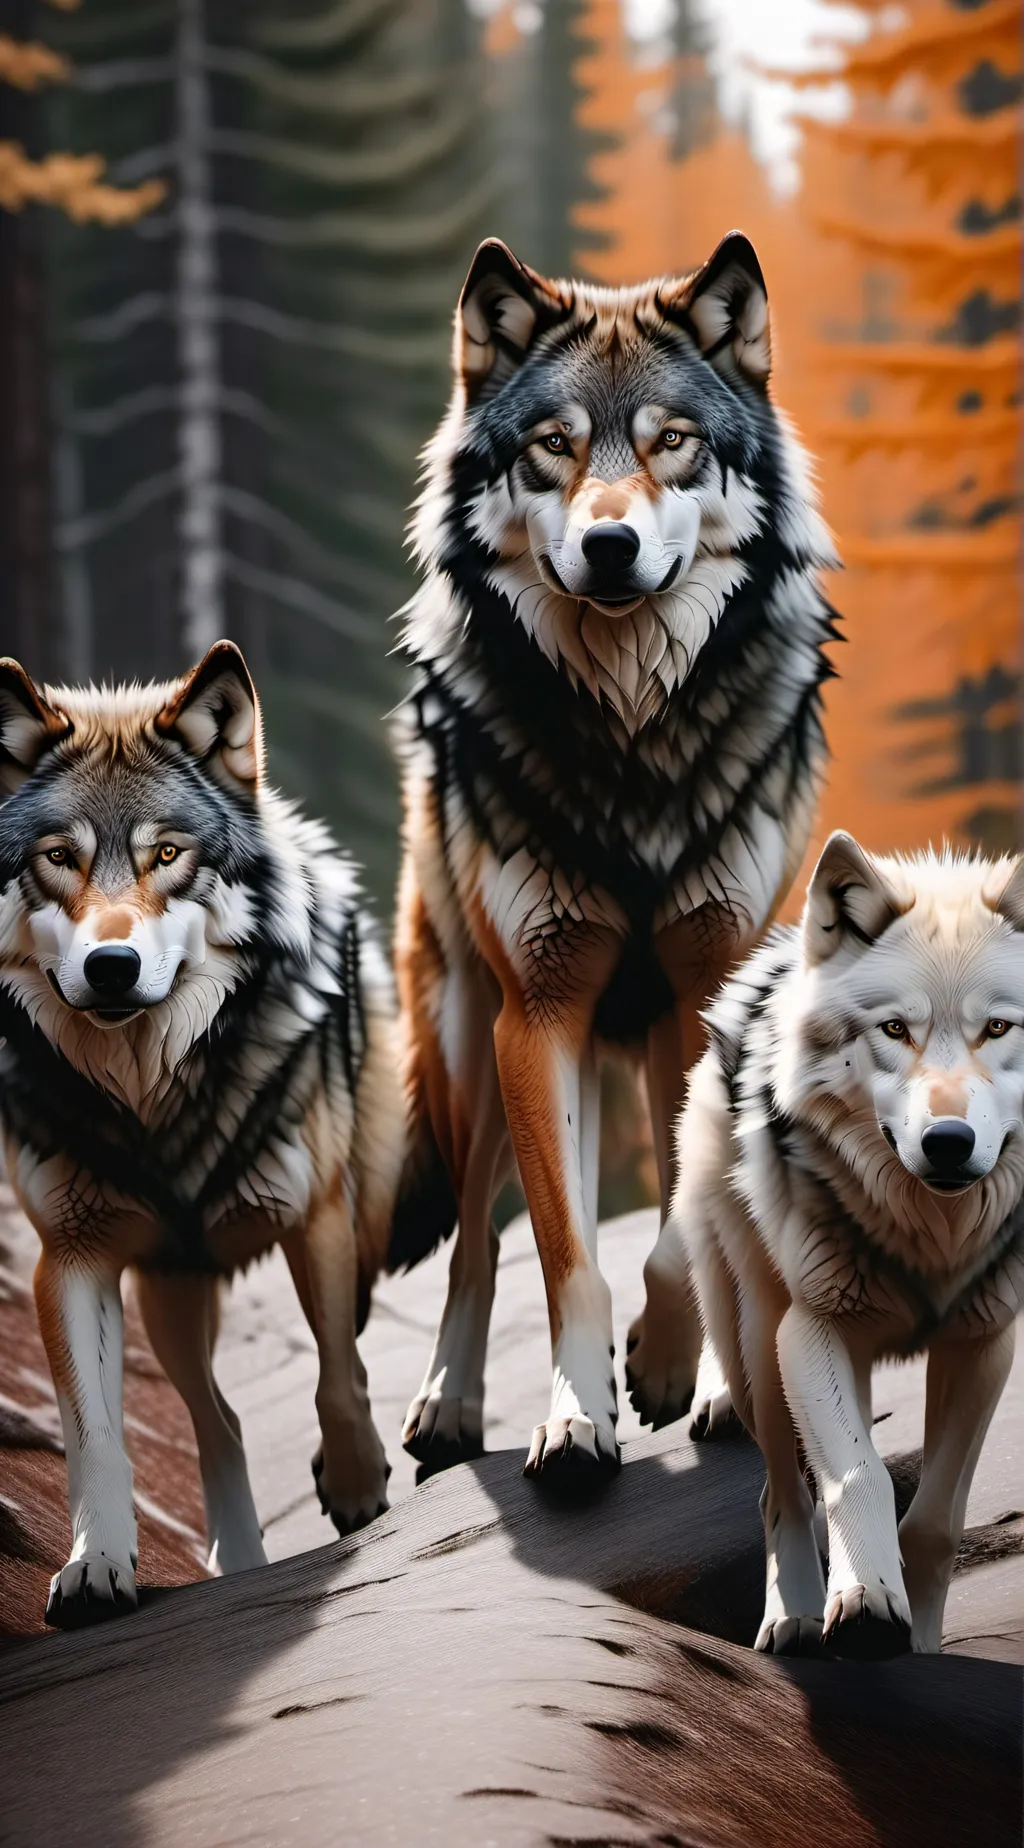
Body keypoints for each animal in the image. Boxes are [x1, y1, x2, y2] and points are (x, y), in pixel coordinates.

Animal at [0, 641, 413, 1627]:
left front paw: (355, 1485)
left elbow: (338, 1373)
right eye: (58, 859)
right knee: (217, 1420)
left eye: (169, 855)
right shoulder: (67, 1260)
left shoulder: (317, 1216)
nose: (112, 967)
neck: (155, 1097)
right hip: (168, 1300)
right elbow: (94, 1436)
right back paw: (239, 1557)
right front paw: (96, 1566)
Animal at [394, 231, 838, 1486]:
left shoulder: (707, 988)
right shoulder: (538, 1014)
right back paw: (449, 1407)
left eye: (670, 442)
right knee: (474, 1242)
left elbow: (685, 1222)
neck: (631, 740)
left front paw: (684, 1372)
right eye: (553, 446)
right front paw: (575, 1418)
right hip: (470, 1041)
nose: (608, 543)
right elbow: (564, 1252)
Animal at [663, 831, 1024, 1657]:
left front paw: (920, 1640)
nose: (948, 1142)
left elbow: (936, 1521)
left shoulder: (984, 1344)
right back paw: (792, 1615)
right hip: (759, 1343)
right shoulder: (816, 1330)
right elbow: (858, 1475)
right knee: (780, 1490)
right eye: (895, 1029)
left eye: (998, 1029)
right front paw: (864, 1601)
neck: (932, 1237)